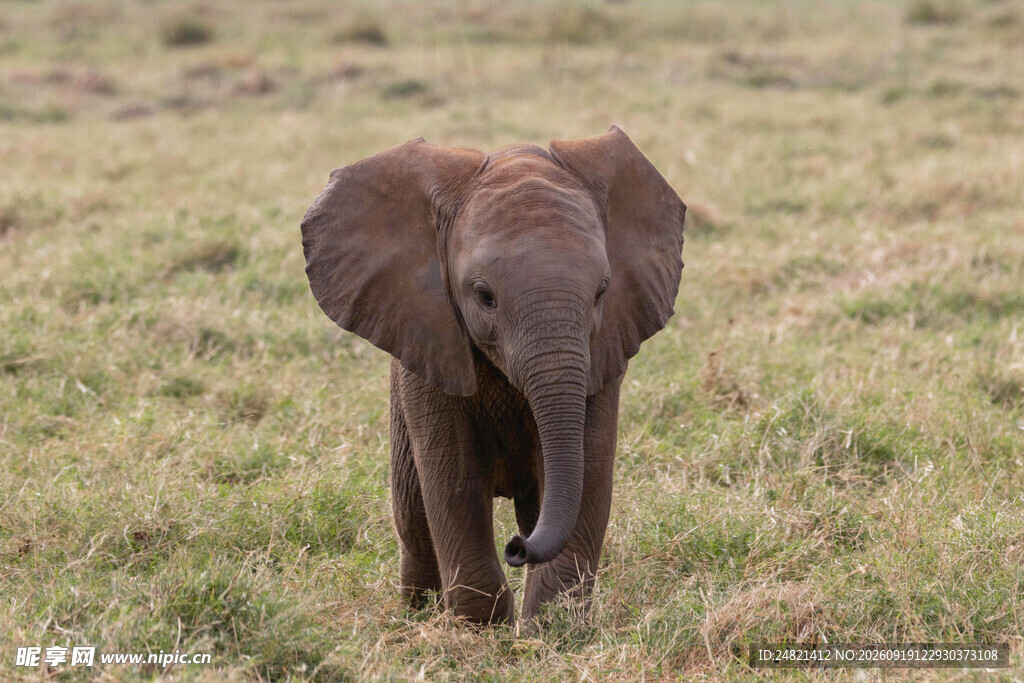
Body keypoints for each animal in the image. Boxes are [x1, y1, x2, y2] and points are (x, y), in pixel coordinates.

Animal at [301, 126, 685, 625]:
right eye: (484, 297)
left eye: (602, 292)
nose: (516, 549)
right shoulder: (428, 345)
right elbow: (453, 479)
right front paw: (482, 628)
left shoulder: (604, 351)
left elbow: (590, 470)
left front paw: (552, 628)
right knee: (414, 518)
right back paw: (418, 614)